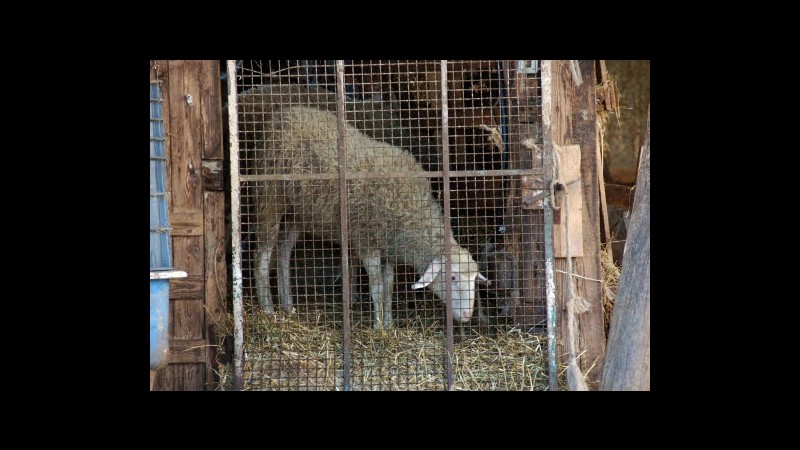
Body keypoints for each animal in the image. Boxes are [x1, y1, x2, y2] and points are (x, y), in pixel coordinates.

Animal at [253, 107, 488, 328]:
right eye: (453, 277)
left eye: (474, 280)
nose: (467, 316)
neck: (411, 210)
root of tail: (284, 113)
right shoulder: (367, 241)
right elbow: (377, 287)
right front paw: (378, 326)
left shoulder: (390, 247)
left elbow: (389, 286)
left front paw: (389, 323)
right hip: (271, 196)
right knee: (263, 255)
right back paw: (268, 309)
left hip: (300, 212)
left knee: (284, 250)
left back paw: (287, 304)